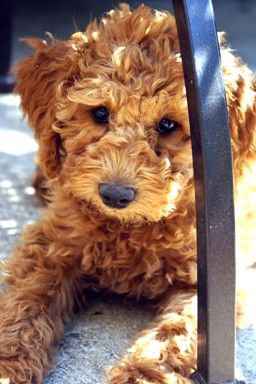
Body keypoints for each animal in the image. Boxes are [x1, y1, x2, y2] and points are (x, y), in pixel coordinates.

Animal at [0, 3, 256, 384]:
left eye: (168, 124)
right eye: (99, 112)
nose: (115, 195)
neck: (129, 228)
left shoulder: (213, 283)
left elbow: (175, 334)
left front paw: (140, 374)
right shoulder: (49, 246)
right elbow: (27, 301)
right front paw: (8, 363)